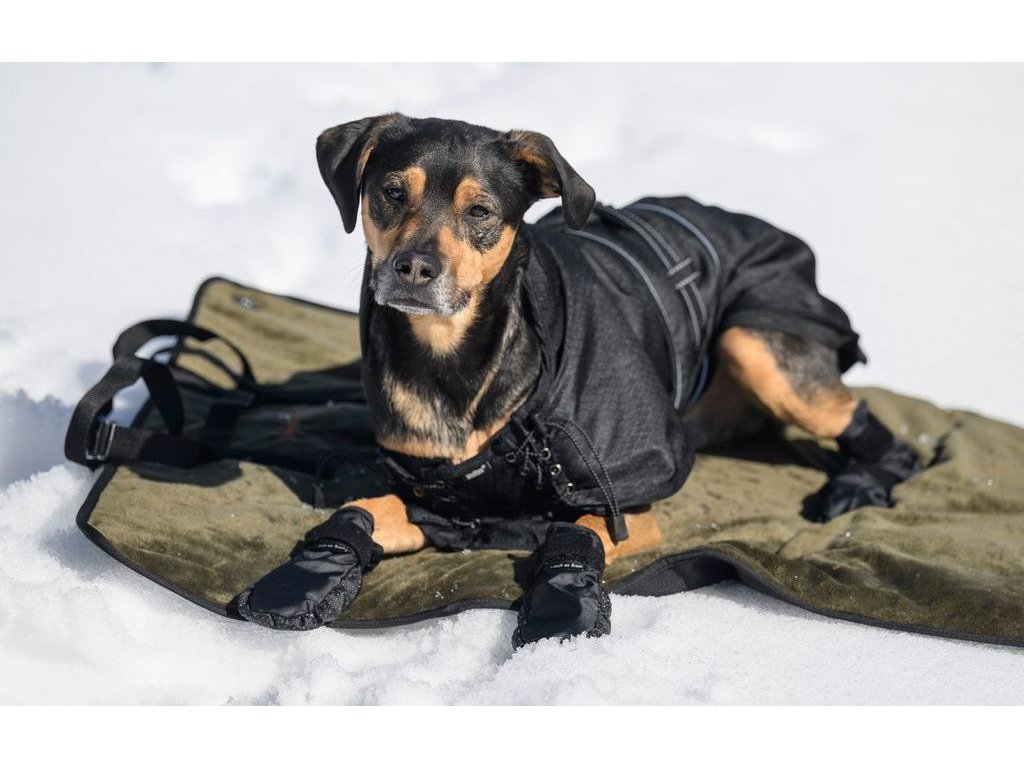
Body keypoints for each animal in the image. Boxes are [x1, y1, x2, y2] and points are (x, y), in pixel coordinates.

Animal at [237, 114, 922, 645]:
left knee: (883, 437)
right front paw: (311, 574)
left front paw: (561, 603)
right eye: (390, 192)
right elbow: (361, 507)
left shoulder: (632, 505)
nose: (412, 268)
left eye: (481, 211)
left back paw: (857, 485)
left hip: (756, 341)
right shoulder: (437, 501)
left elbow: (575, 532)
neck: (456, 362)